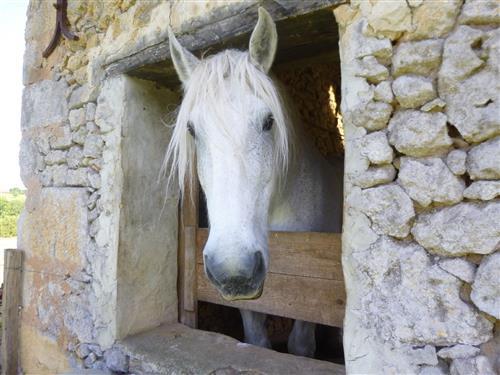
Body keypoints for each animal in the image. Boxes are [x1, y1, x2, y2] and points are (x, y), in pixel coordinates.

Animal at [166, 7, 342, 356]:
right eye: (192, 130)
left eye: (268, 121)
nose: (233, 270)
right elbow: (256, 340)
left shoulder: (310, 292)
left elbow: (301, 346)